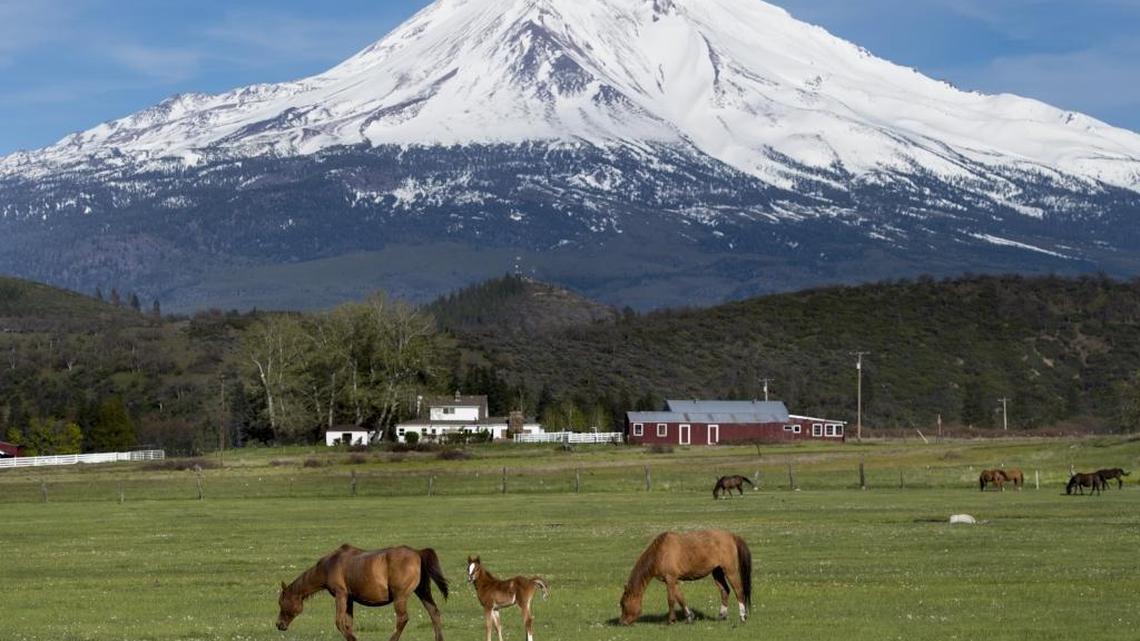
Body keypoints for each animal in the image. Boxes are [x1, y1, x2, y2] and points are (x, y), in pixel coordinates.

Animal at [277, 543, 449, 641]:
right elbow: (348, 624)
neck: (328, 565)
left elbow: (339, 622)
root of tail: (418, 553)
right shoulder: (349, 599)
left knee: (402, 619)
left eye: (281, 603)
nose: (279, 625)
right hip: (423, 592)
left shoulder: (341, 595)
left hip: (400, 597)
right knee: (434, 613)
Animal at [619, 529, 752, 626]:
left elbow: (671, 600)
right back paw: (722, 615)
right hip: (717, 572)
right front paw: (689, 617)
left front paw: (671, 620)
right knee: (725, 590)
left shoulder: (670, 579)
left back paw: (742, 617)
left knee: (738, 591)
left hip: (730, 571)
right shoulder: (672, 581)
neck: (660, 552)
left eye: (623, 604)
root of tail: (732, 536)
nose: (622, 622)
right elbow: (680, 598)